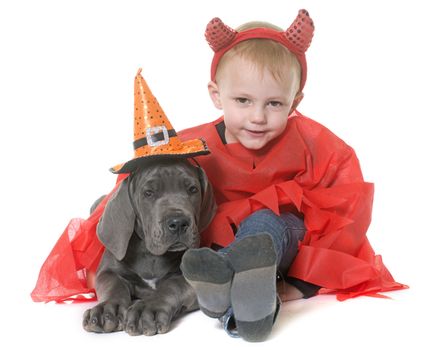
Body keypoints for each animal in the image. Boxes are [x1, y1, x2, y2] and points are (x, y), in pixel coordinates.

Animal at [83, 157, 217, 334]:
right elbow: (113, 285)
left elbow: (173, 284)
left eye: (193, 189)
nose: (178, 223)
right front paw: (107, 309)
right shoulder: (108, 271)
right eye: (148, 193)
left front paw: (147, 309)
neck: (151, 254)